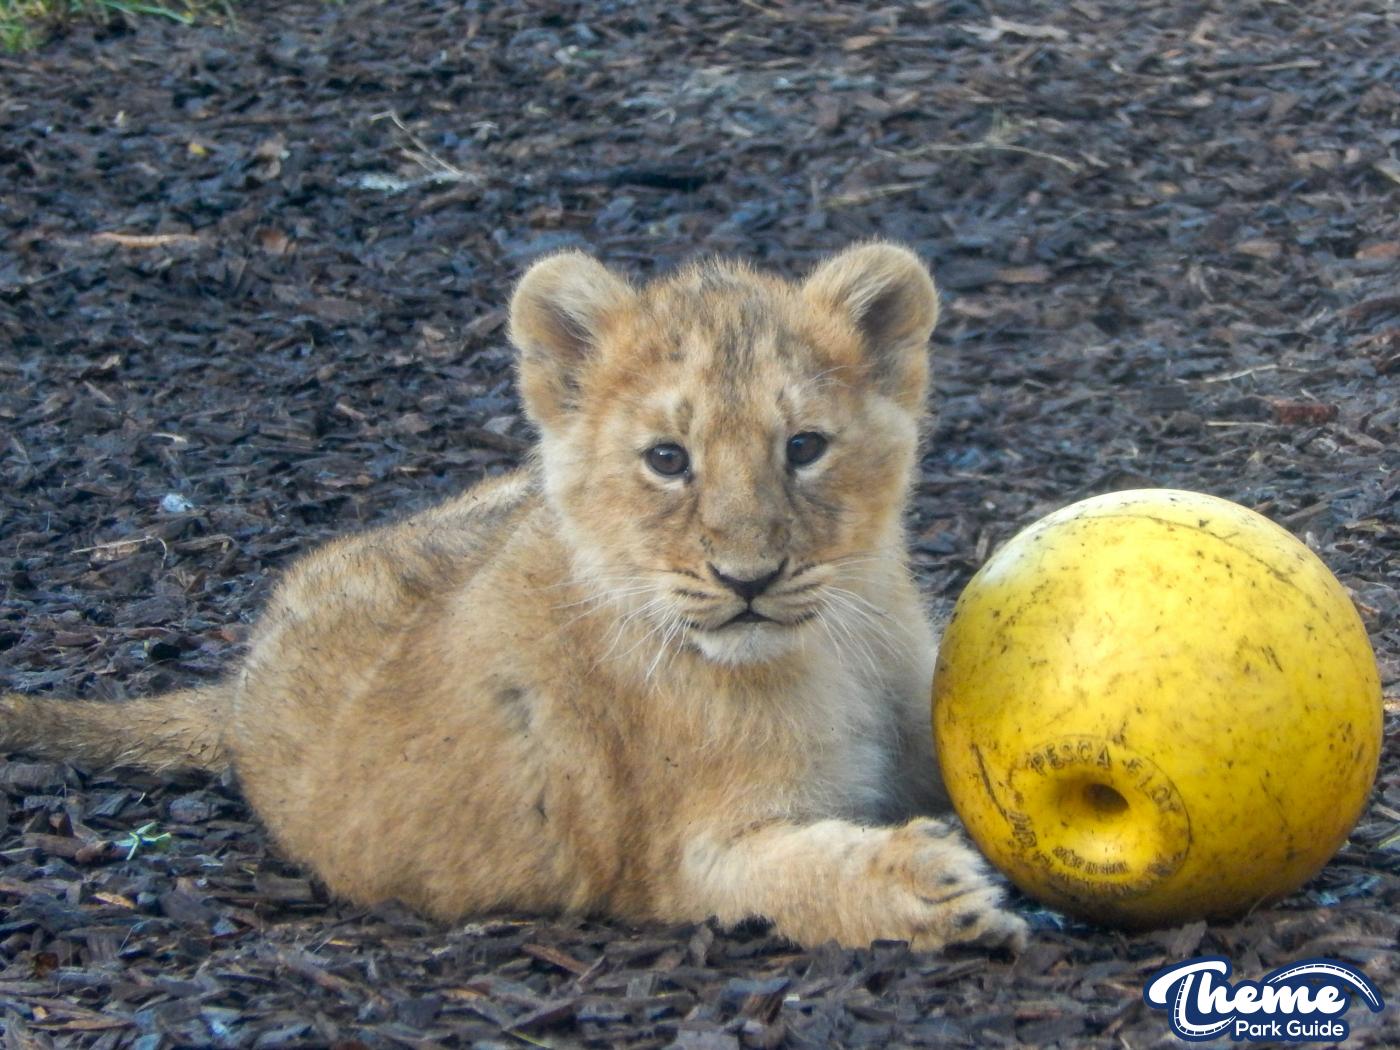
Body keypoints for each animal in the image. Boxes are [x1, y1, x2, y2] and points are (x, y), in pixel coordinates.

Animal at [1, 243, 1027, 952]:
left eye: (804, 447)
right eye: (668, 460)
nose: (748, 579)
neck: (831, 648)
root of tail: (242, 684)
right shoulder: (682, 861)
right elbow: (797, 879)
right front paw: (927, 885)